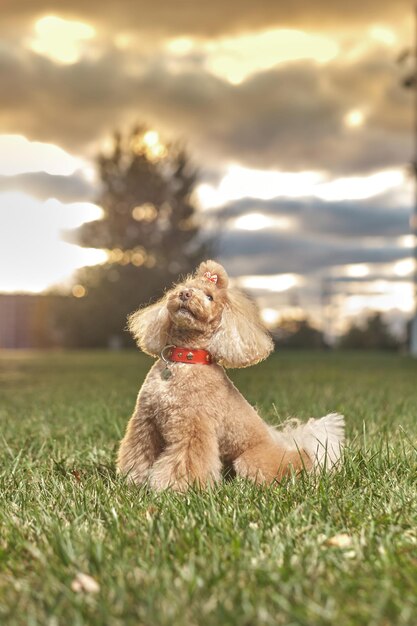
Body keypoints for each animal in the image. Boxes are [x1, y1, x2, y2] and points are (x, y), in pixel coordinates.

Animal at [117, 258, 344, 488]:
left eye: (210, 297)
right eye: (184, 288)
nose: (185, 294)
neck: (184, 358)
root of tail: (301, 453)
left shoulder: (194, 429)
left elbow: (185, 462)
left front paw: (172, 488)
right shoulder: (145, 422)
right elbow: (138, 453)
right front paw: (134, 479)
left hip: (250, 460)